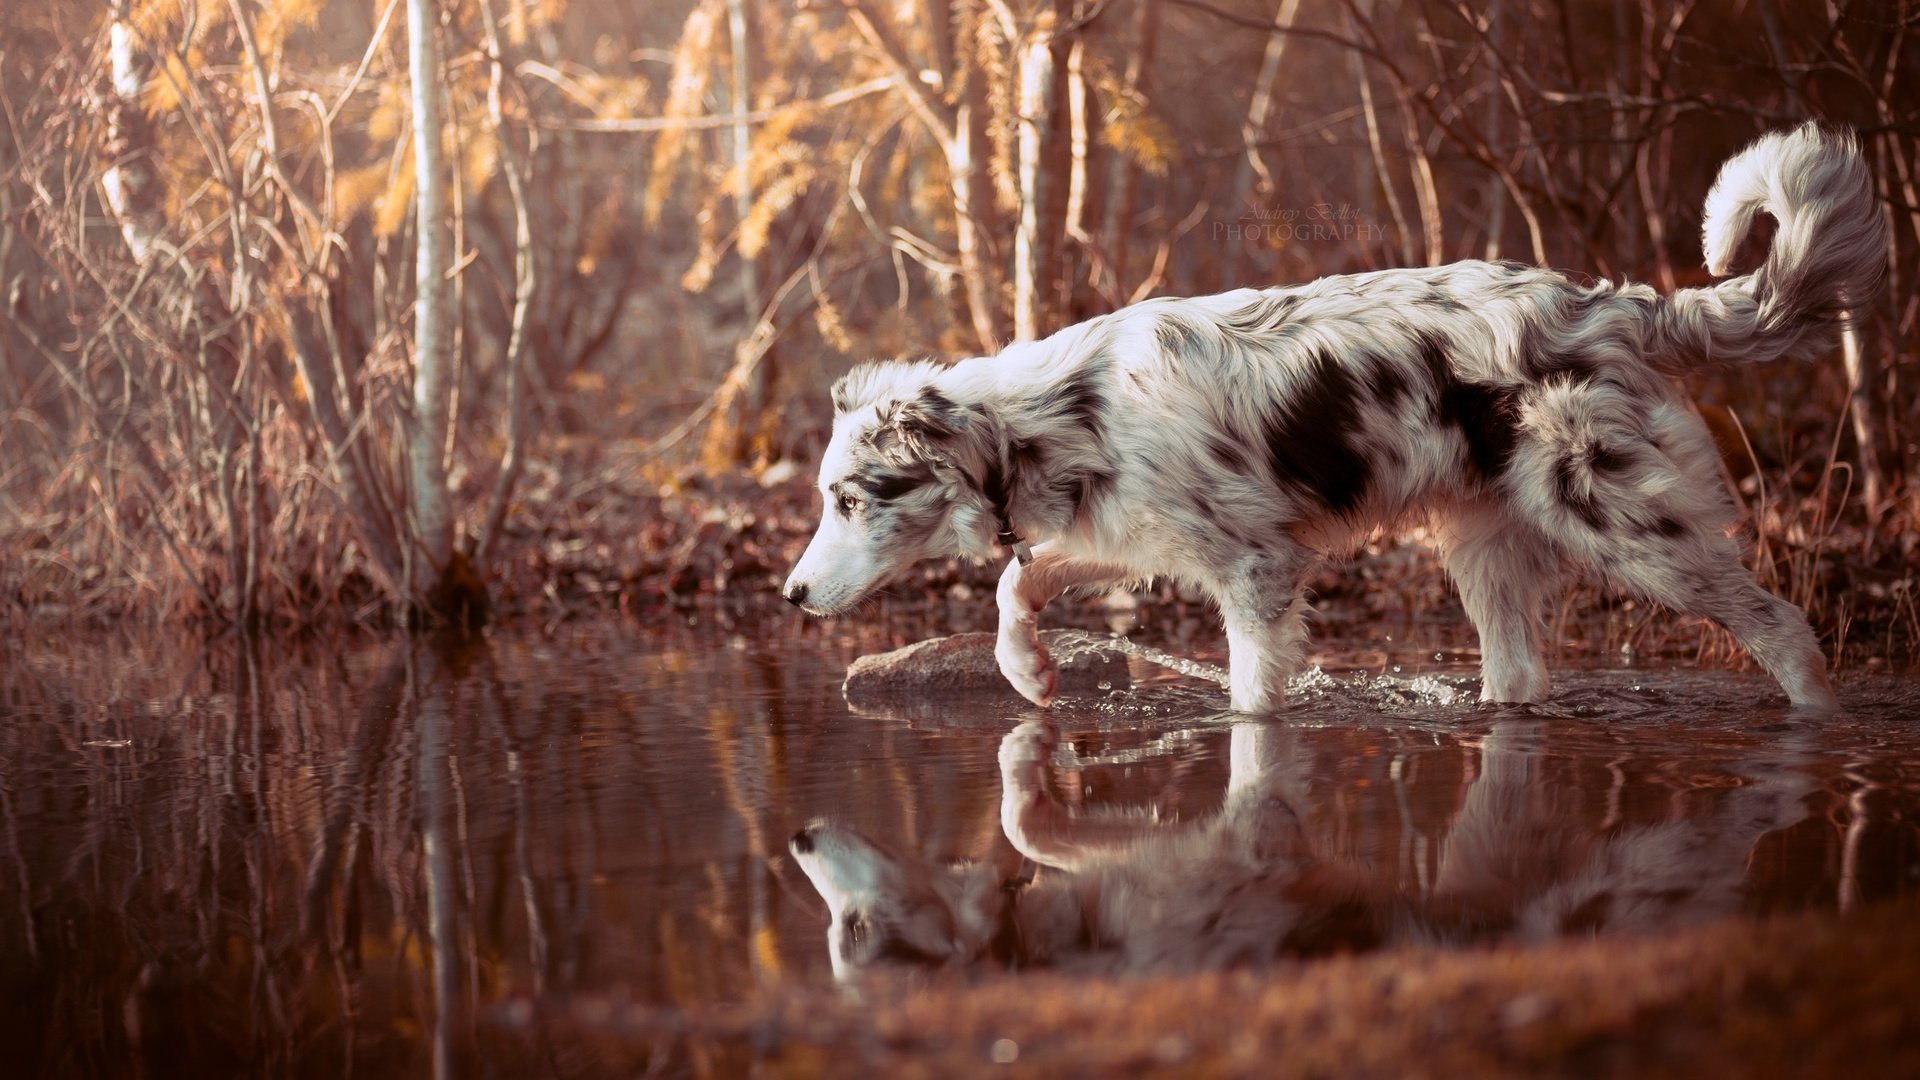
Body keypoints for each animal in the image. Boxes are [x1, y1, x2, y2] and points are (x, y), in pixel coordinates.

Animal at [783, 122, 1889, 711]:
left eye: (852, 500)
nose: (789, 594)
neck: (1057, 417)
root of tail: (1616, 303)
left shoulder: (1257, 570)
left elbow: (1249, 702)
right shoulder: (1130, 536)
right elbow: (1018, 582)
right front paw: (1029, 671)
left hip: (1629, 528)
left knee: (1785, 628)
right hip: (1484, 553)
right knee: (1520, 679)